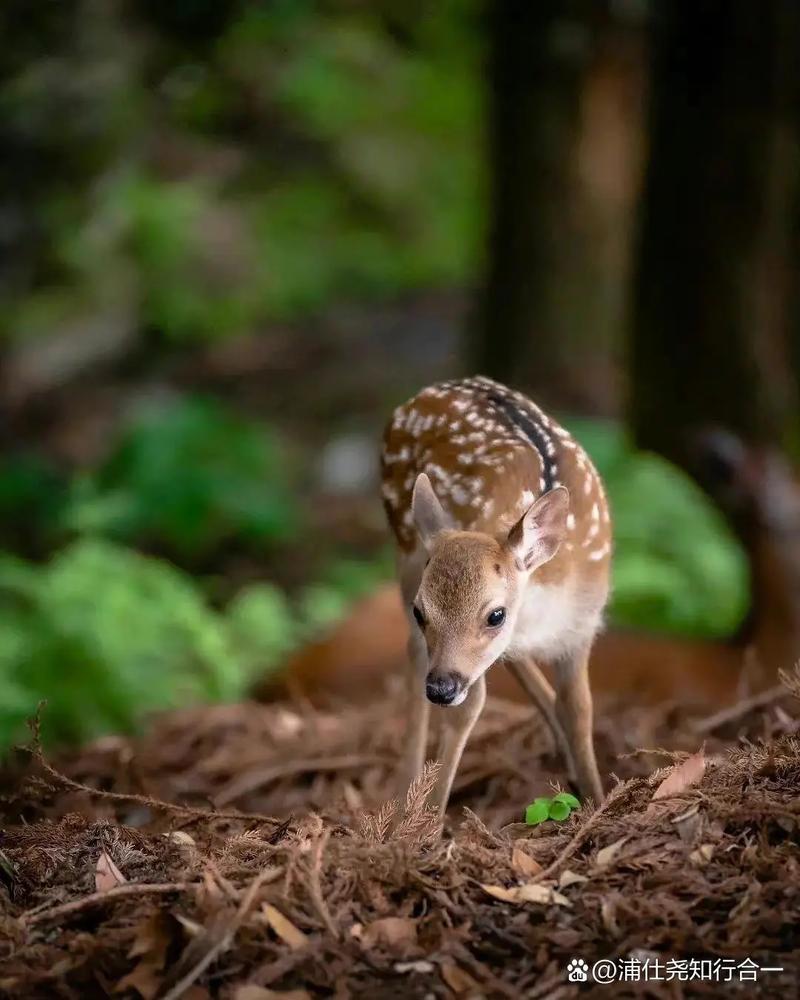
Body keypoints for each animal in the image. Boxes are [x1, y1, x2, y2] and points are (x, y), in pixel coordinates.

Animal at [382, 376, 612, 820]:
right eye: (421, 611)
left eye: (495, 614)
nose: (441, 688)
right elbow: (470, 708)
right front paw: (427, 826)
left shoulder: (581, 627)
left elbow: (580, 708)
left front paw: (597, 798)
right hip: (406, 550)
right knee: (415, 654)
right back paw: (402, 796)